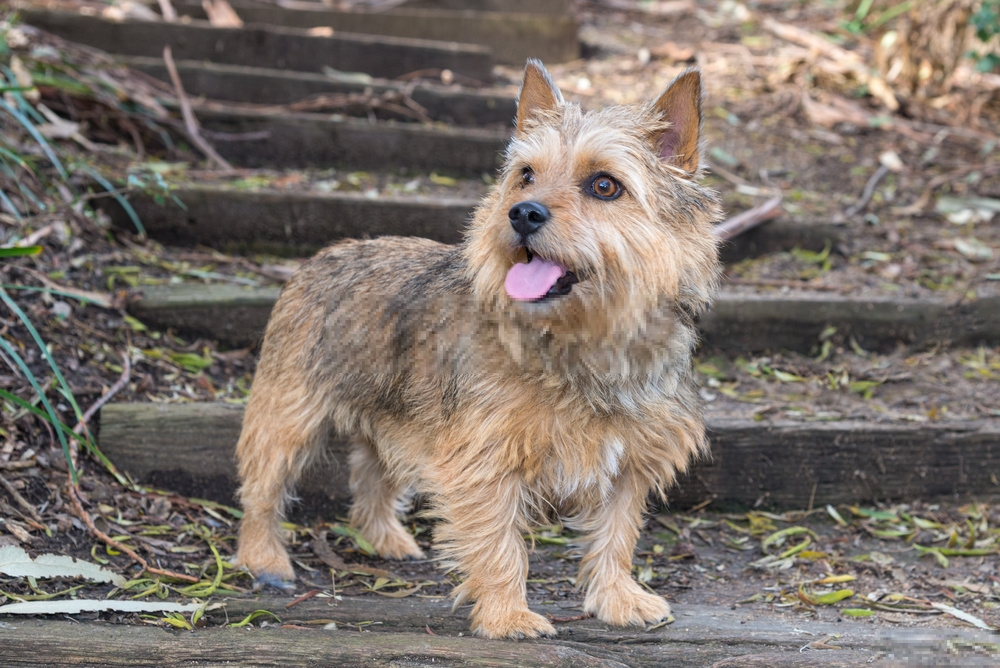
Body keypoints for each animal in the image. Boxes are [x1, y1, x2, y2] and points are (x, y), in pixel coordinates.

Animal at [234, 60, 720, 640]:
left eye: (605, 185)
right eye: (526, 174)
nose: (522, 213)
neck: (582, 345)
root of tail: (325, 255)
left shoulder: (630, 464)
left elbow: (616, 535)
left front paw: (618, 599)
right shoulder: (482, 461)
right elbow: (497, 544)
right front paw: (507, 615)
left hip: (395, 415)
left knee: (372, 473)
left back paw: (385, 538)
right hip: (288, 415)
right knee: (263, 488)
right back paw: (263, 558)